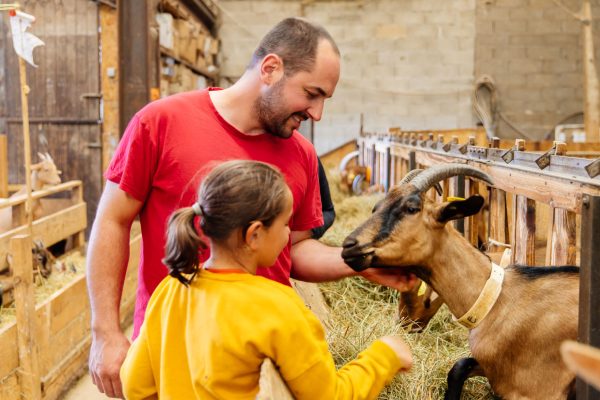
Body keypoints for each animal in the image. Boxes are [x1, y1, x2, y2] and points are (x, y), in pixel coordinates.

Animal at [342, 163, 580, 400]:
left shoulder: (538, 390)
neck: (496, 301)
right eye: (376, 207)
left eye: (411, 208)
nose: (348, 245)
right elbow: (458, 367)